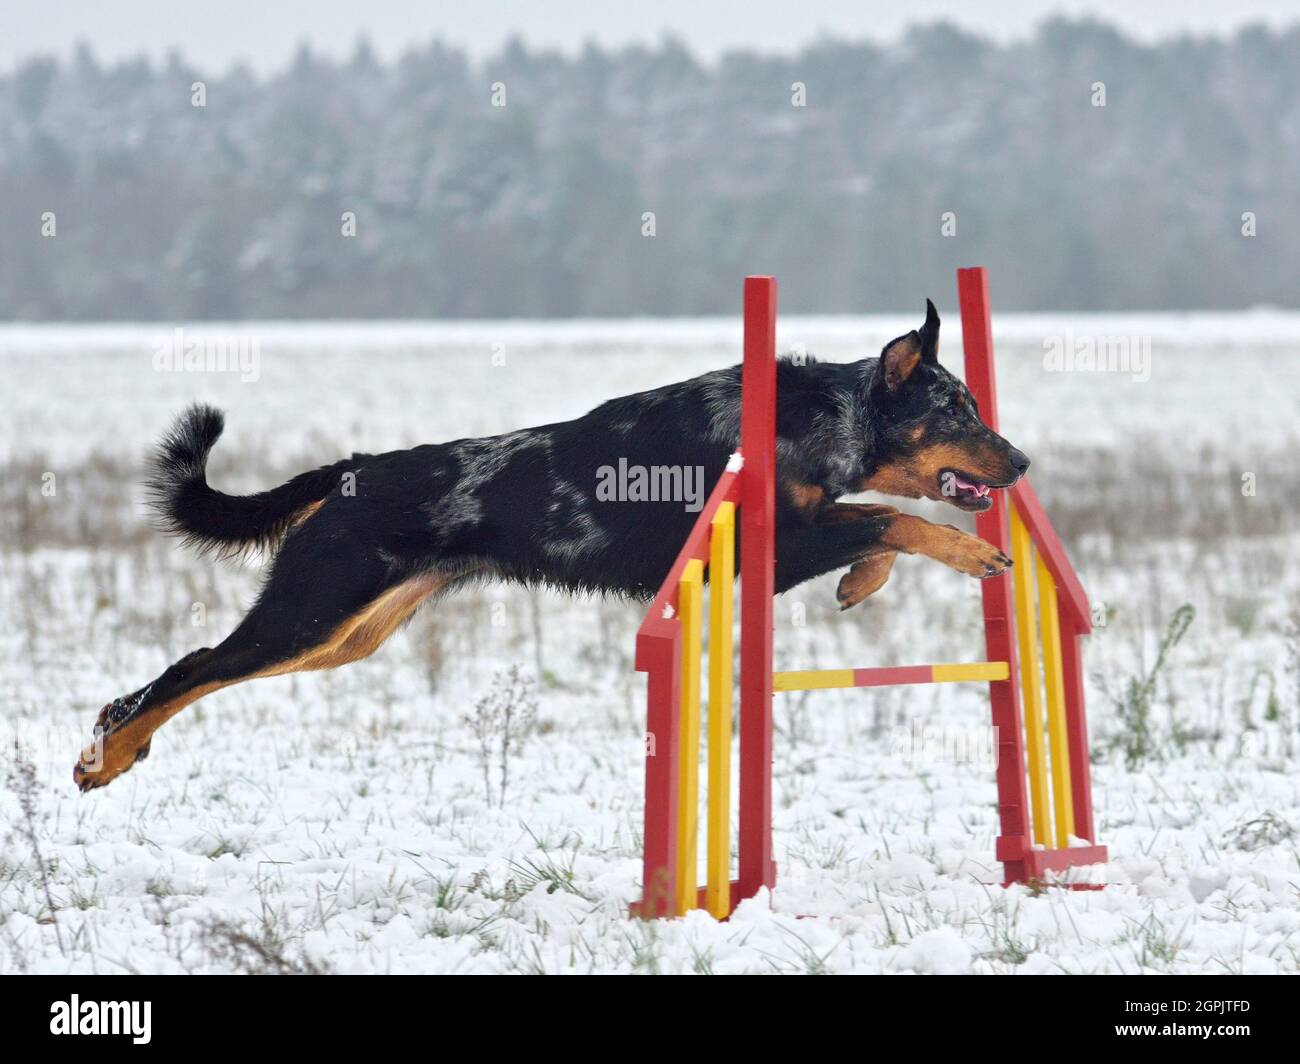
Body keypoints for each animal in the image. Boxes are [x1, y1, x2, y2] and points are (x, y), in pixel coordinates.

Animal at [73, 299, 1024, 785]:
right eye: (956, 410)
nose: (1019, 460)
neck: (817, 419)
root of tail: (353, 470)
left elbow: (879, 524)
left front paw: (863, 584)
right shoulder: (774, 545)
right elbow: (898, 518)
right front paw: (970, 555)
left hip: (347, 636)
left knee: (188, 672)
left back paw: (114, 744)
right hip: (309, 612)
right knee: (191, 665)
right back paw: (107, 753)